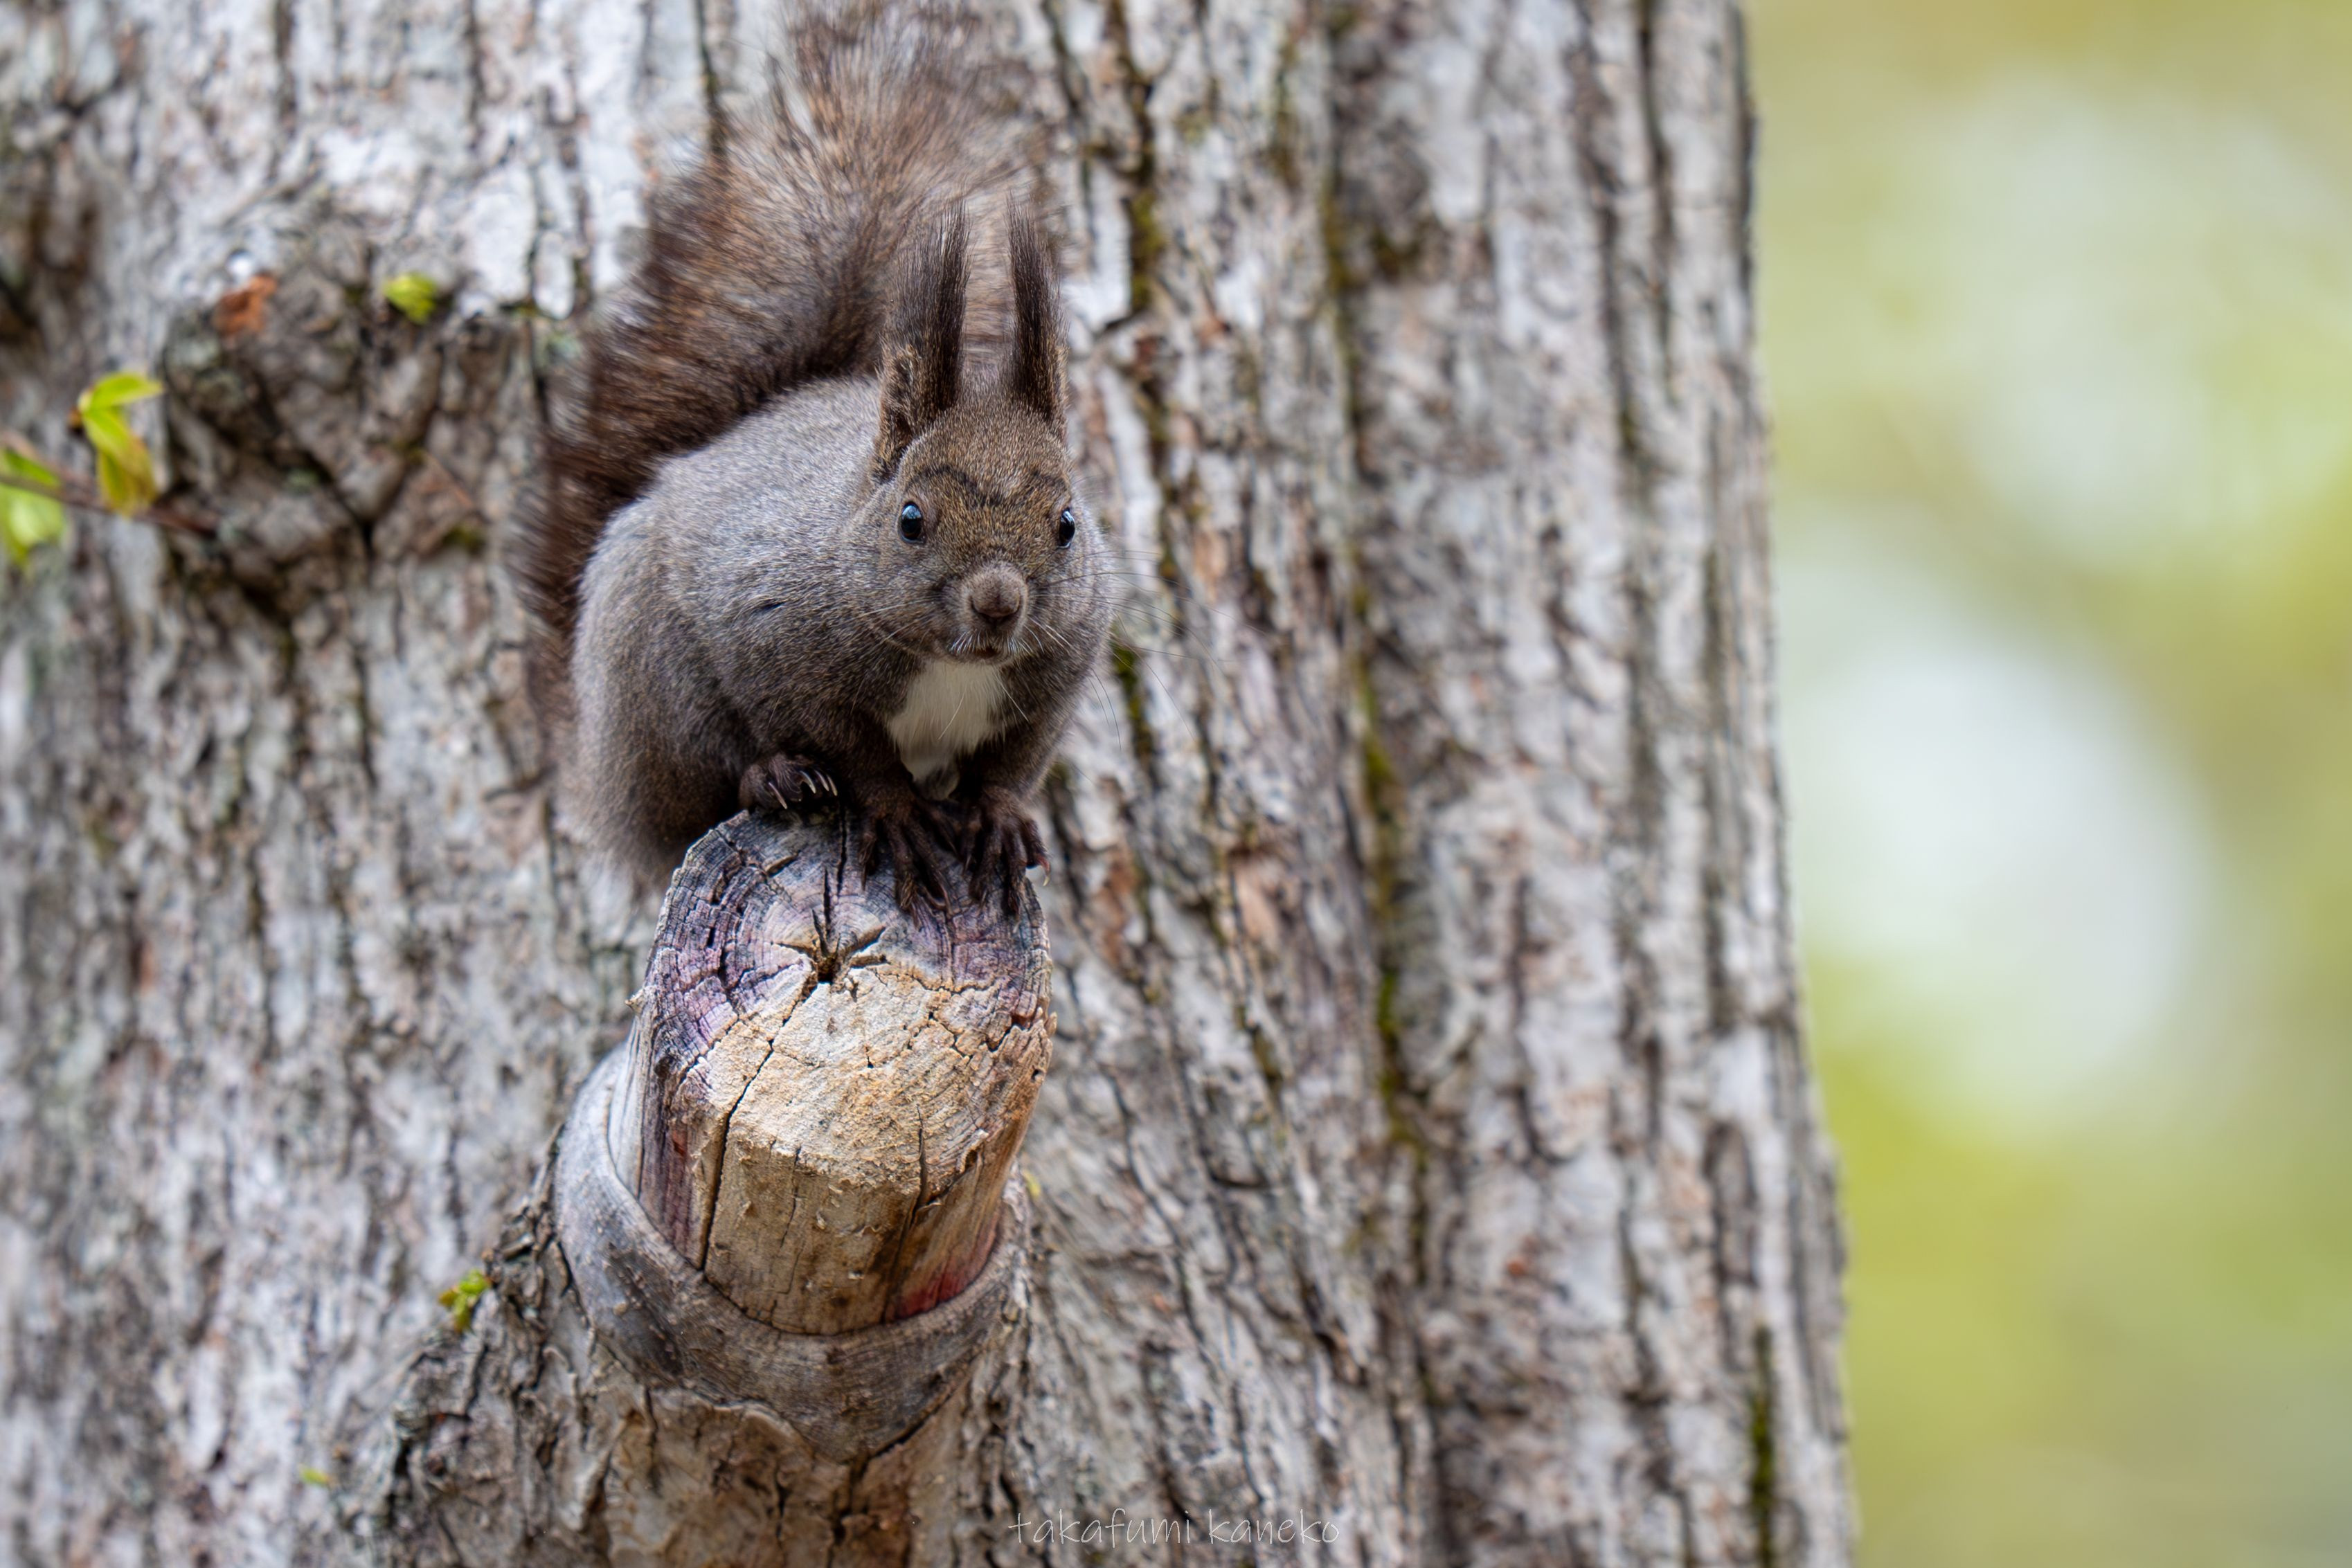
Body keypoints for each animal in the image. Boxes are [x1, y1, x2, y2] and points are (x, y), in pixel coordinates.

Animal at [511, 10, 1112, 914]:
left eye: (1068, 523)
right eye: (910, 519)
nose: (999, 601)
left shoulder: (1058, 674)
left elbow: (1012, 764)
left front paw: (1000, 818)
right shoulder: (779, 643)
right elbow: (854, 752)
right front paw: (896, 813)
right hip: (658, 682)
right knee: (708, 783)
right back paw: (775, 778)